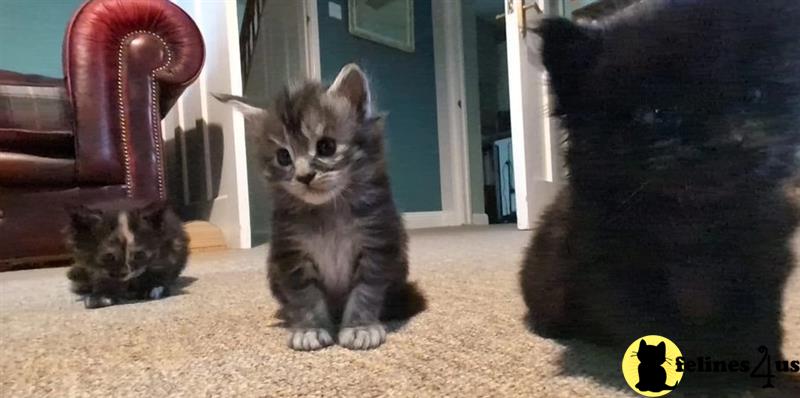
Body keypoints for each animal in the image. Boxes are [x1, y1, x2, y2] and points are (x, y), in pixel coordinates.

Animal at [212, 63, 424, 350]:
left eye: (326, 147)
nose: (304, 176)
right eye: (283, 157)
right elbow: (305, 297)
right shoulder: (290, 253)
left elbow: (366, 291)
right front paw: (309, 329)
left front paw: (360, 327)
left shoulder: (378, 243)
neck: (329, 213)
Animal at [520, 0, 796, 374]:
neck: (695, 227)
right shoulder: (617, 279)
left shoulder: (765, 268)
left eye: (752, 96)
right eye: (655, 114)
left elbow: (757, 324)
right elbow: (662, 327)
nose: (724, 141)